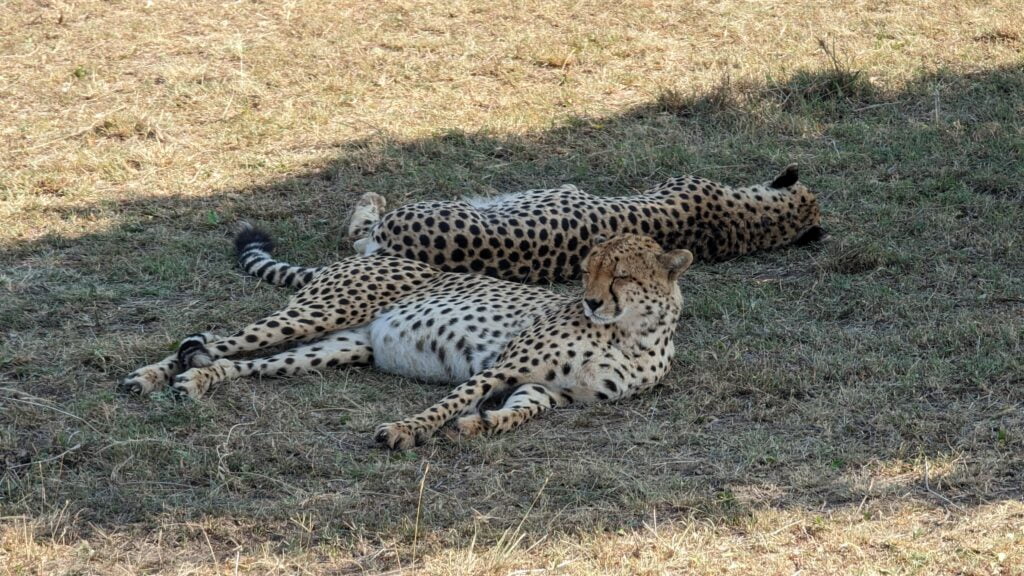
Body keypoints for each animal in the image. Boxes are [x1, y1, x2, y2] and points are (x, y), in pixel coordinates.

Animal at [121, 226, 696, 446]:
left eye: (619, 275)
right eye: (586, 271)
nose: (592, 301)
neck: (631, 333)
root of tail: (376, 255)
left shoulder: (547, 388)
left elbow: (521, 411)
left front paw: (483, 424)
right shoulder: (504, 365)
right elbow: (449, 401)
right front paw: (405, 429)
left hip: (336, 347)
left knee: (236, 362)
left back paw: (199, 382)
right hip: (317, 313)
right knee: (207, 341)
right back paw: (148, 377)